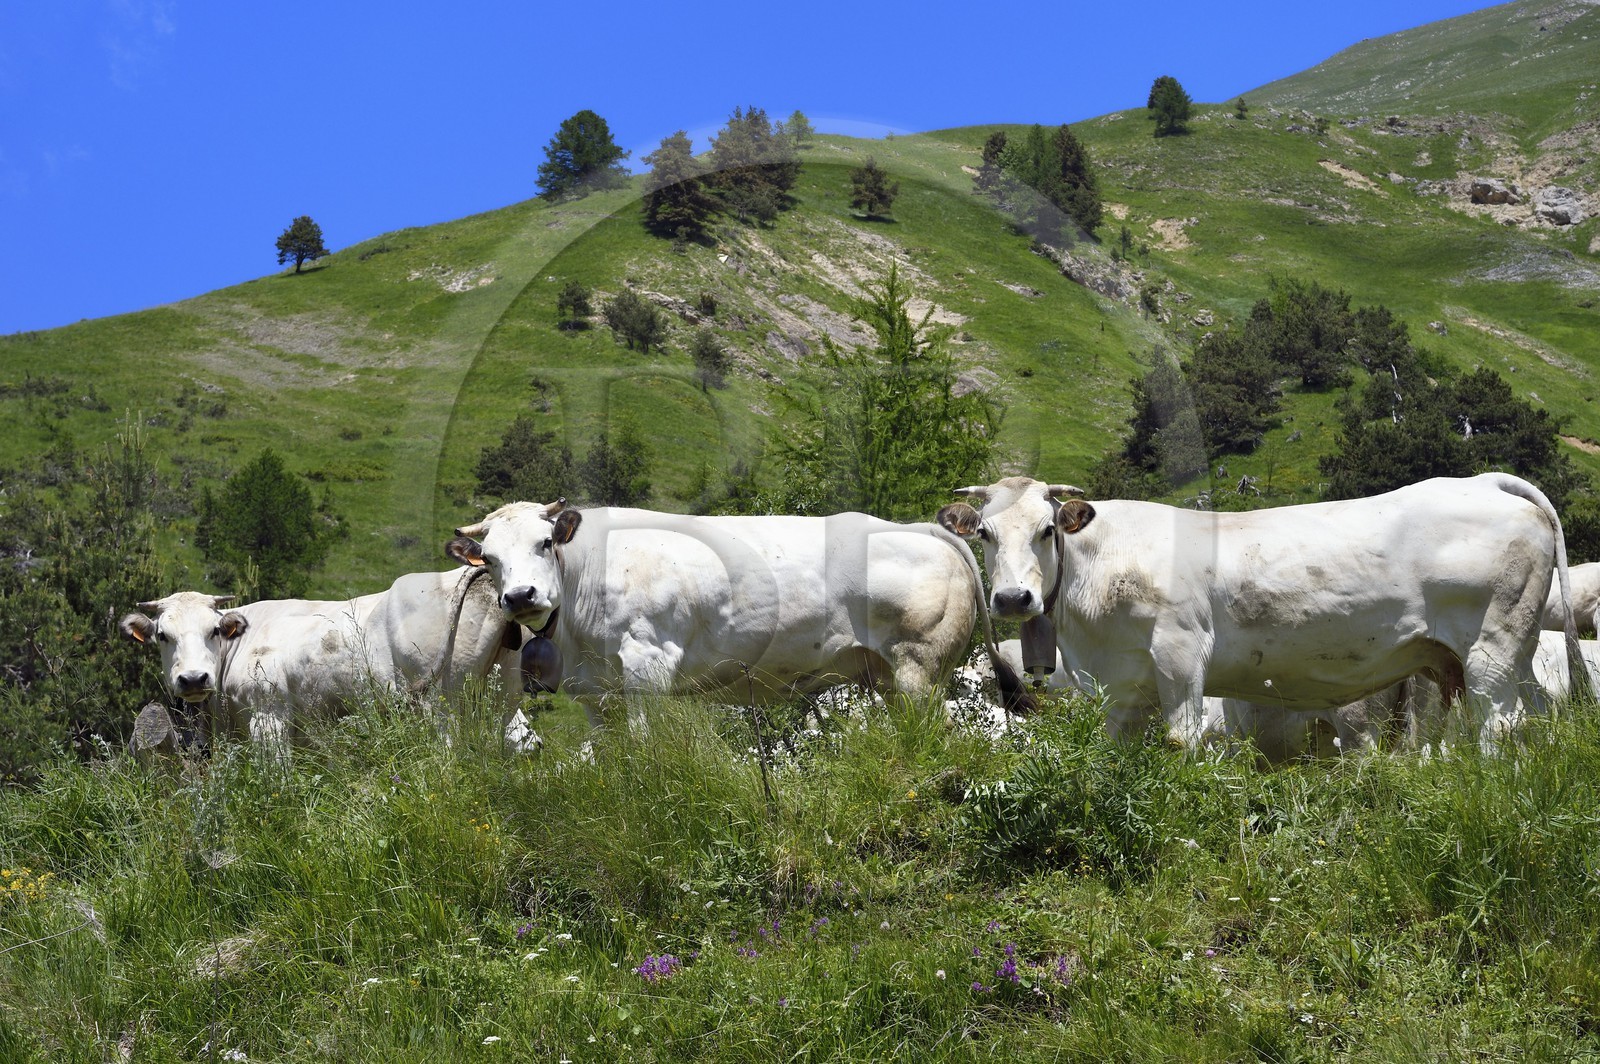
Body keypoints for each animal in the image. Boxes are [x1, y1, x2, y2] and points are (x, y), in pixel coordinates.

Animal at [120, 567, 532, 753]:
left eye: (214, 630)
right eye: (162, 635)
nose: (193, 679)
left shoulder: (269, 716)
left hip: (441, 706)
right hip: (501, 698)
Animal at [444, 499, 1030, 725]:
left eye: (545, 542)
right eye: (489, 559)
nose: (521, 596)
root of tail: (918, 527)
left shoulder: (648, 664)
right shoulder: (594, 692)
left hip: (919, 665)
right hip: (888, 674)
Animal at [936, 473, 1588, 753]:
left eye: (1047, 530)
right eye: (986, 533)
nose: (1012, 599)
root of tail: (1482, 481)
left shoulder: (1180, 654)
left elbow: (1181, 739)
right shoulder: (1124, 683)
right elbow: (1114, 750)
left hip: (1491, 649)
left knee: (1498, 724)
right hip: (1500, 654)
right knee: (1524, 718)